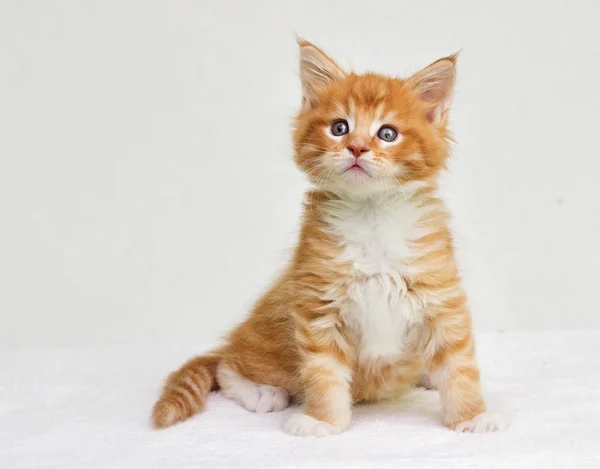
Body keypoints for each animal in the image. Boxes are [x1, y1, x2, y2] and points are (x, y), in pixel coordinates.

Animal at [152, 39, 504, 436]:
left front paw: (472, 416)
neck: (372, 217)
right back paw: (261, 391)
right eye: (339, 127)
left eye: (387, 134)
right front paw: (321, 421)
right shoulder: (318, 304)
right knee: (227, 364)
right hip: (263, 342)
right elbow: (324, 374)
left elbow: (460, 366)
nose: (357, 147)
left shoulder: (441, 297)